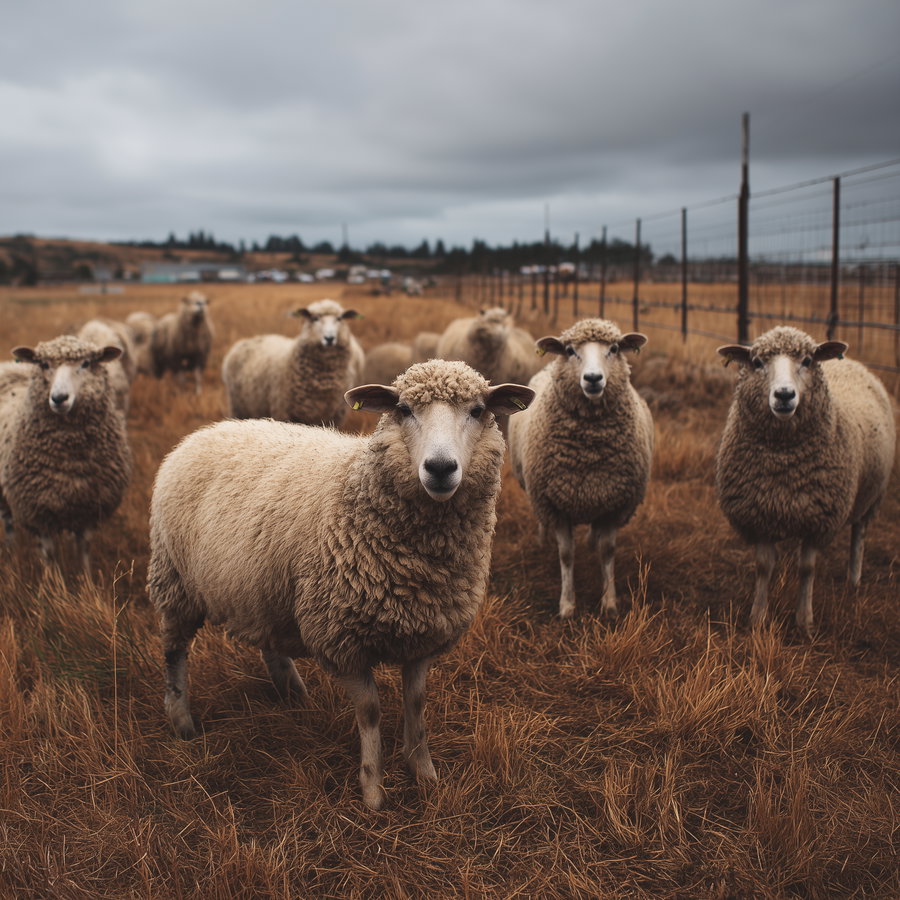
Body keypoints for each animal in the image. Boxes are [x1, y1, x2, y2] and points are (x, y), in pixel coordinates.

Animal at [0, 336, 133, 571]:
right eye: (44, 364)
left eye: (86, 363)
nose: (59, 398)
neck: (71, 461)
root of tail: (7, 366)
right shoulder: (39, 513)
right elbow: (50, 554)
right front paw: (52, 578)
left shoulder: (89, 508)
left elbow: (84, 549)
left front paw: (85, 578)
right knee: (7, 521)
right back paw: (9, 550)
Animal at [148, 359, 535, 809]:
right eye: (403, 409)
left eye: (477, 410)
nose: (440, 468)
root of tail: (204, 432)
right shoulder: (340, 639)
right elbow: (370, 712)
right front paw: (373, 791)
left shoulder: (424, 634)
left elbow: (416, 704)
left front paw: (424, 774)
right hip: (175, 582)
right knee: (174, 652)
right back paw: (182, 720)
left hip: (264, 586)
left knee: (269, 642)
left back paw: (293, 693)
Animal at [222, 298, 365, 427]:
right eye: (314, 318)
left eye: (339, 319)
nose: (329, 338)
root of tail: (251, 339)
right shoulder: (283, 411)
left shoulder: (334, 417)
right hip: (237, 407)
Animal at [508, 319, 653, 618]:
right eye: (570, 351)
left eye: (614, 348)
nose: (593, 379)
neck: (588, 453)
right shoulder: (554, 505)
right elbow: (566, 555)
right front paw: (567, 604)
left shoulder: (615, 504)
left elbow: (608, 551)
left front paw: (609, 602)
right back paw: (543, 539)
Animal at [716, 326, 896, 635]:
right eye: (757, 362)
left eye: (808, 360)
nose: (784, 394)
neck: (784, 461)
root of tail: (851, 362)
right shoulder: (760, 515)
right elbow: (763, 566)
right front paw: (757, 618)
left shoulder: (818, 519)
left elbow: (807, 569)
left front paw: (804, 621)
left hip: (871, 495)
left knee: (859, 534)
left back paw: (854, 579)